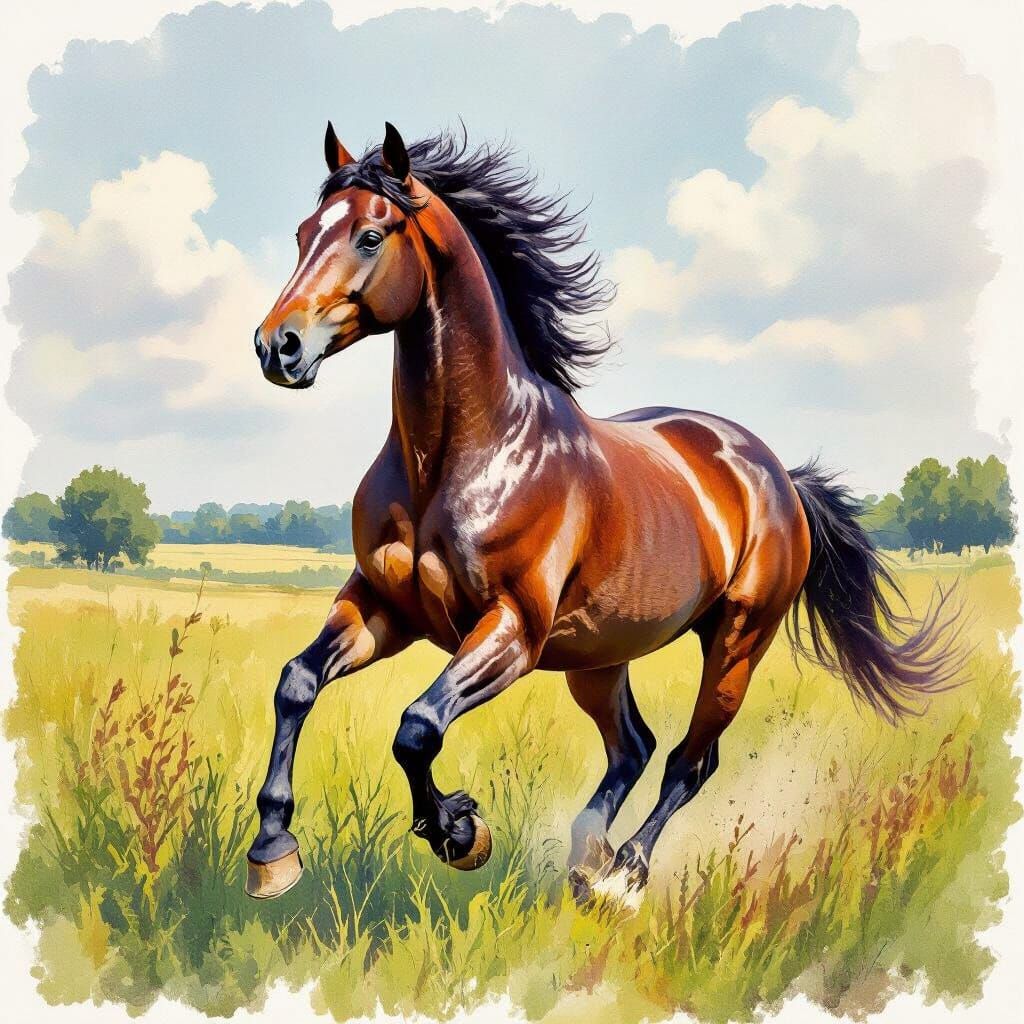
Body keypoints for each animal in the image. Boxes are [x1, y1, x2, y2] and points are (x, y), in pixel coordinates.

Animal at [244, 121, 961, 902]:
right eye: (303, 233)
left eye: (372, 236)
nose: (276, 347)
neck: (460, 457)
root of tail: (776, 475)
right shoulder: (383, 606)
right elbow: (296, 682)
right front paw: (274, 849)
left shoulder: (512, 631)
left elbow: (418, 725)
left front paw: (459, 831)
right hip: (599, 656)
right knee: (633, 748)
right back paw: (588, 857)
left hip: (738, 642)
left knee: (688, 760)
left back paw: (624, 875)